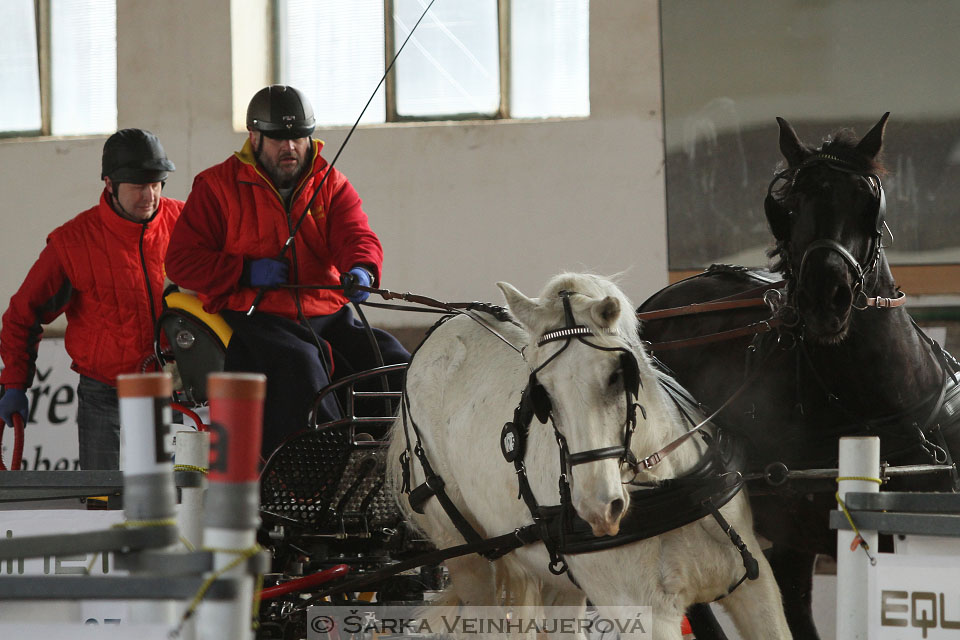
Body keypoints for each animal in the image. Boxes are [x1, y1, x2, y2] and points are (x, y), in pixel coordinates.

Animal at [386, 272, 792, 636]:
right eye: (543, 393)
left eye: (616, 375)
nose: (599, 508)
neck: (664, 487)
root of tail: (440, 331)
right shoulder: (642, 612)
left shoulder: (757, 588)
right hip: (465, 553)